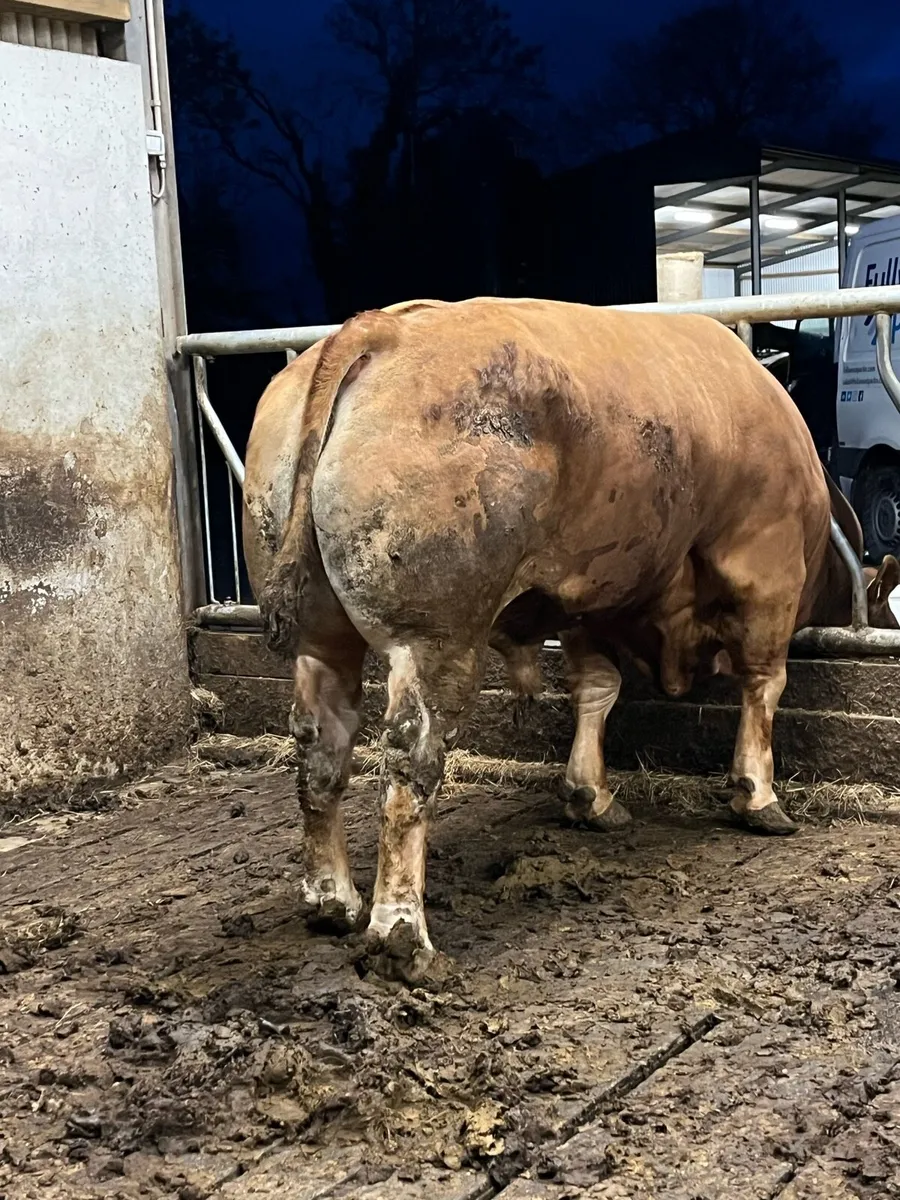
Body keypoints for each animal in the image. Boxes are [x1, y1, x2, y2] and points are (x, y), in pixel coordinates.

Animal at [243, 296, 900, 982]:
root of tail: (382, 326)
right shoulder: (765, 571)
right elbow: (764, 686)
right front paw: (758, 797)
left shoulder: (590, 603)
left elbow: (596, 690)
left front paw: (592, 797)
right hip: (432, 638)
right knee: (408, 761)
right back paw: (401, 934)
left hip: (319, 636)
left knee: (321, 746)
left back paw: (332, 900)